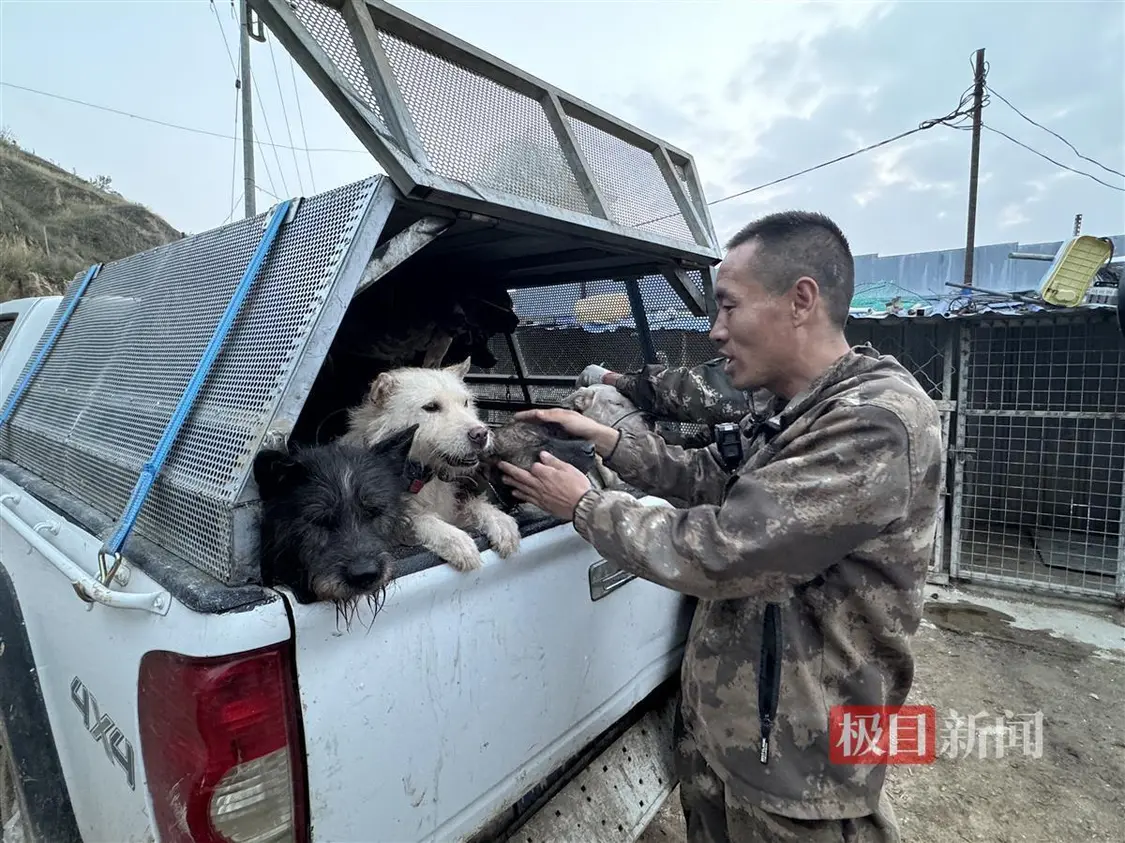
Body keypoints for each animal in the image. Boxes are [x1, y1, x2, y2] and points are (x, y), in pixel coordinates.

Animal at [339, 357, 519, 569]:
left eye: (465, 403)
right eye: (431, 407)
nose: (481, 434)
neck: (421, 475)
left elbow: (474, 506)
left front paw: (501, 522)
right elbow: (420, 520)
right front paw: (457, 541)